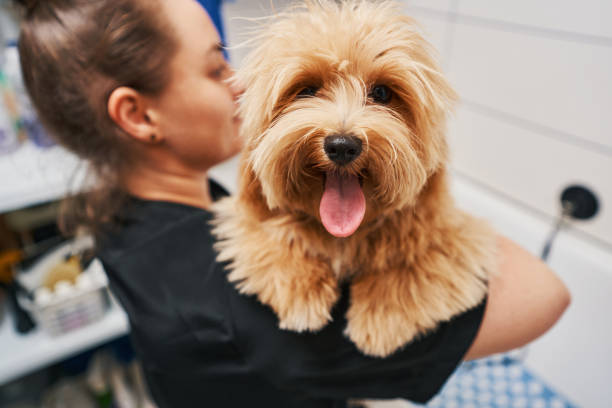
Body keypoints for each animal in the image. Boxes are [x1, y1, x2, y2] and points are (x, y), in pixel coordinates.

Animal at [214, 0, 498, 356]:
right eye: (307, 90)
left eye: (382, 93)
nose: (342, 145)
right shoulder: (244, 220)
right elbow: (273, 237)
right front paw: (302, 292)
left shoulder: (455, 237)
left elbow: (414, 262)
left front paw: (381, 315)